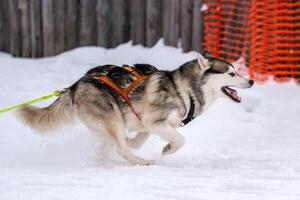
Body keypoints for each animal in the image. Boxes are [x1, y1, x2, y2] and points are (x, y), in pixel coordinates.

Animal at [17, 52, 253, 166]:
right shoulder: (153, 121)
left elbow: (140, 139)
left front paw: (135, 141)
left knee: (111, 145)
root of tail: (74, 86)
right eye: (231, 74)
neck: (184, 90)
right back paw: (142, 162)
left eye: (237, 72)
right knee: (121, 148)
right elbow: (180, 139)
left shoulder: (146, 123)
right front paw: (168, 149)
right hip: (112, 117)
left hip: (108, 122)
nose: (251, 81)